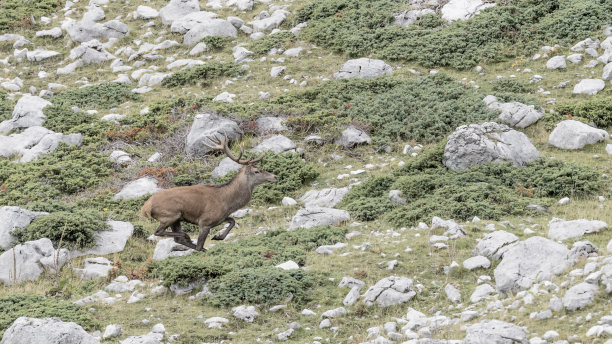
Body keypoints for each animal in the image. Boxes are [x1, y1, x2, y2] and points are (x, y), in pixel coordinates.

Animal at [141, 136, 278, 251]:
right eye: (257, 171)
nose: (275, 176)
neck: (228, 202)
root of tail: (145, 207)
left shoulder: (220, 217)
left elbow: (232, 221)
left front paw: (218, 237)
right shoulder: (205, 222)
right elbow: (200, 244)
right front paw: (210, 241)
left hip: (176, 219)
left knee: (176, 238)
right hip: (170, 215)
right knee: (159, 232)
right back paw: (187, 236)